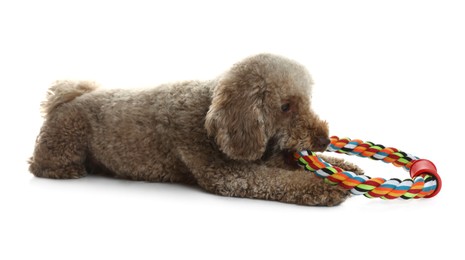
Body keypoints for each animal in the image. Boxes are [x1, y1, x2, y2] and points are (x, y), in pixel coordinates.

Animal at [29, 53, 362, 206]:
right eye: (285, 106)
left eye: (307, 101)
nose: (324, 139)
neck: (209, 107)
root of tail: (67, 98)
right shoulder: (230, 175)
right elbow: (281, 180)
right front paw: (325, 185)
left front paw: (344, 166)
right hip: (65, 140)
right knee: (39, 165)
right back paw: (65, 170)